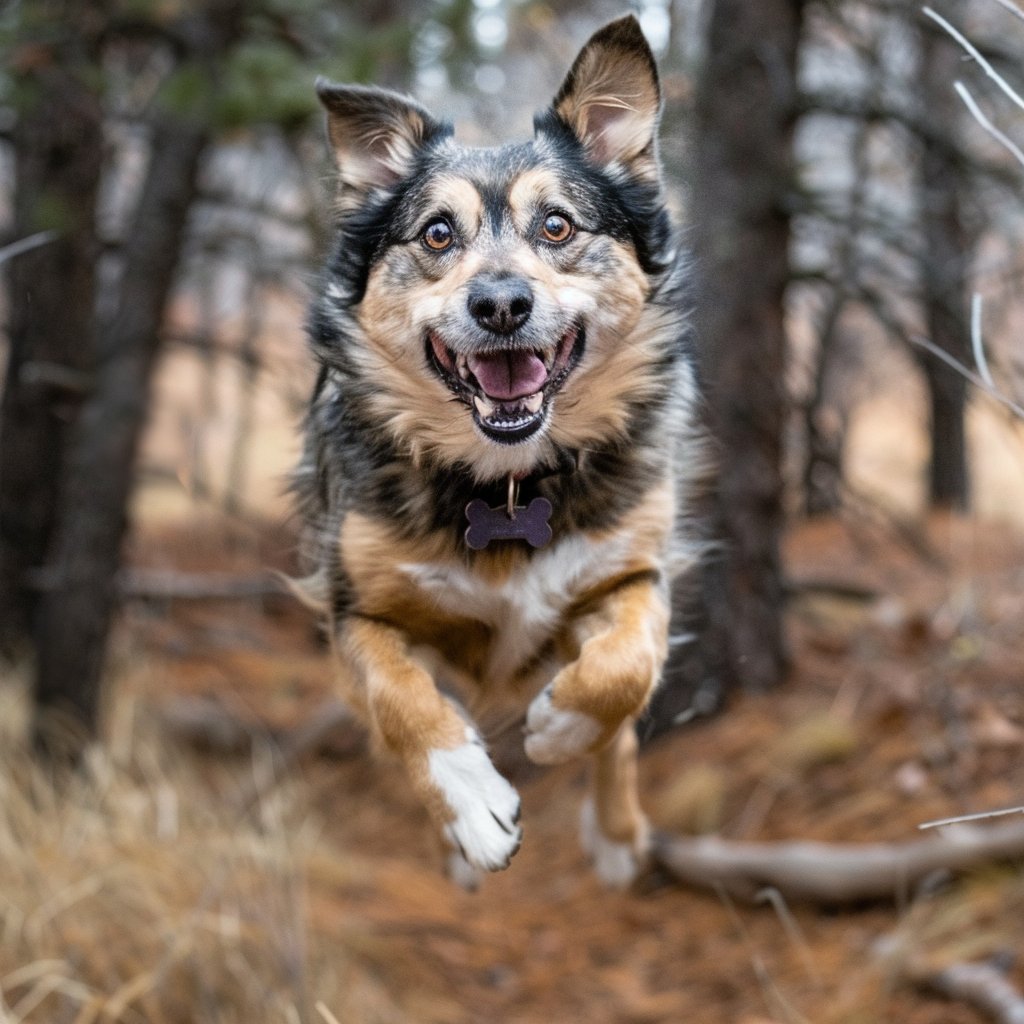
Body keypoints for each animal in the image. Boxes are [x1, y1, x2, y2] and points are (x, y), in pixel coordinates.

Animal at [296, 16, 704, 888]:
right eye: (436, 233)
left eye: (557, 225)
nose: (501, 305)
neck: (507, 483)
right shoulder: (355, 609)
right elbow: (403, 701)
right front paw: (471, 808)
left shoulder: (631, 570)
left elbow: (627, 669)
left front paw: (562, 727)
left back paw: (616, 833)